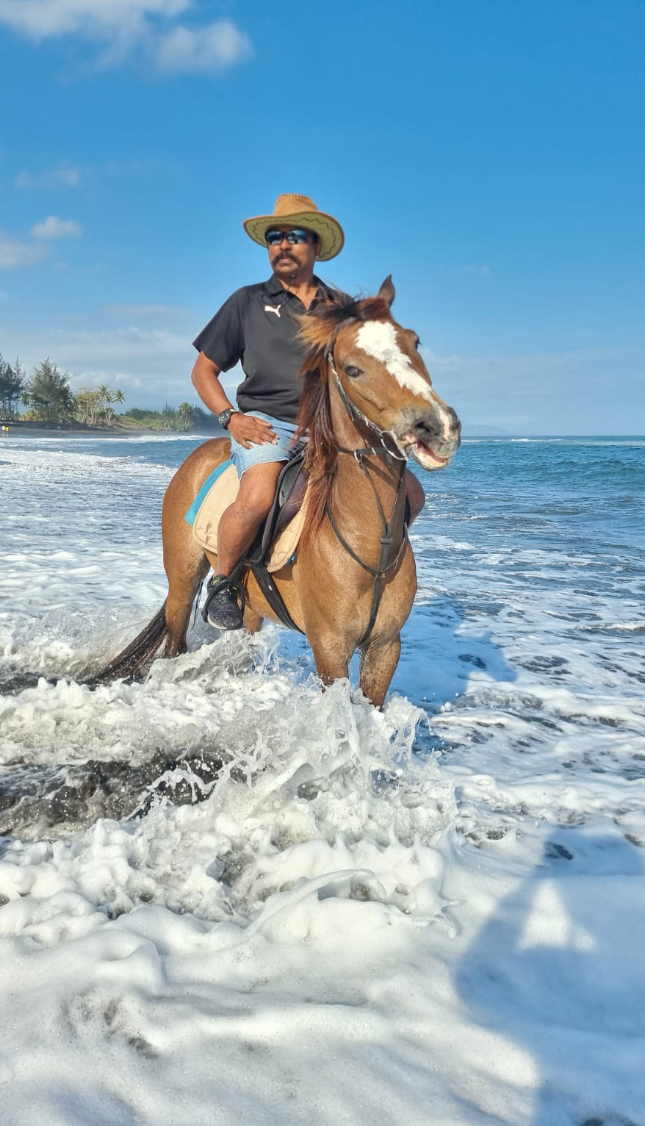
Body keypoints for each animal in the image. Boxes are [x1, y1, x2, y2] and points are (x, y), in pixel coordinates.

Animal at [97, 278, 461, 707]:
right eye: (352, 369)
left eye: (415, 342)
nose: (437, 428)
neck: (371, 541)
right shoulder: (330, 649)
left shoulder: (385, 648)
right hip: (182, 582)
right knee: (174, 643)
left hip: (251, 607)